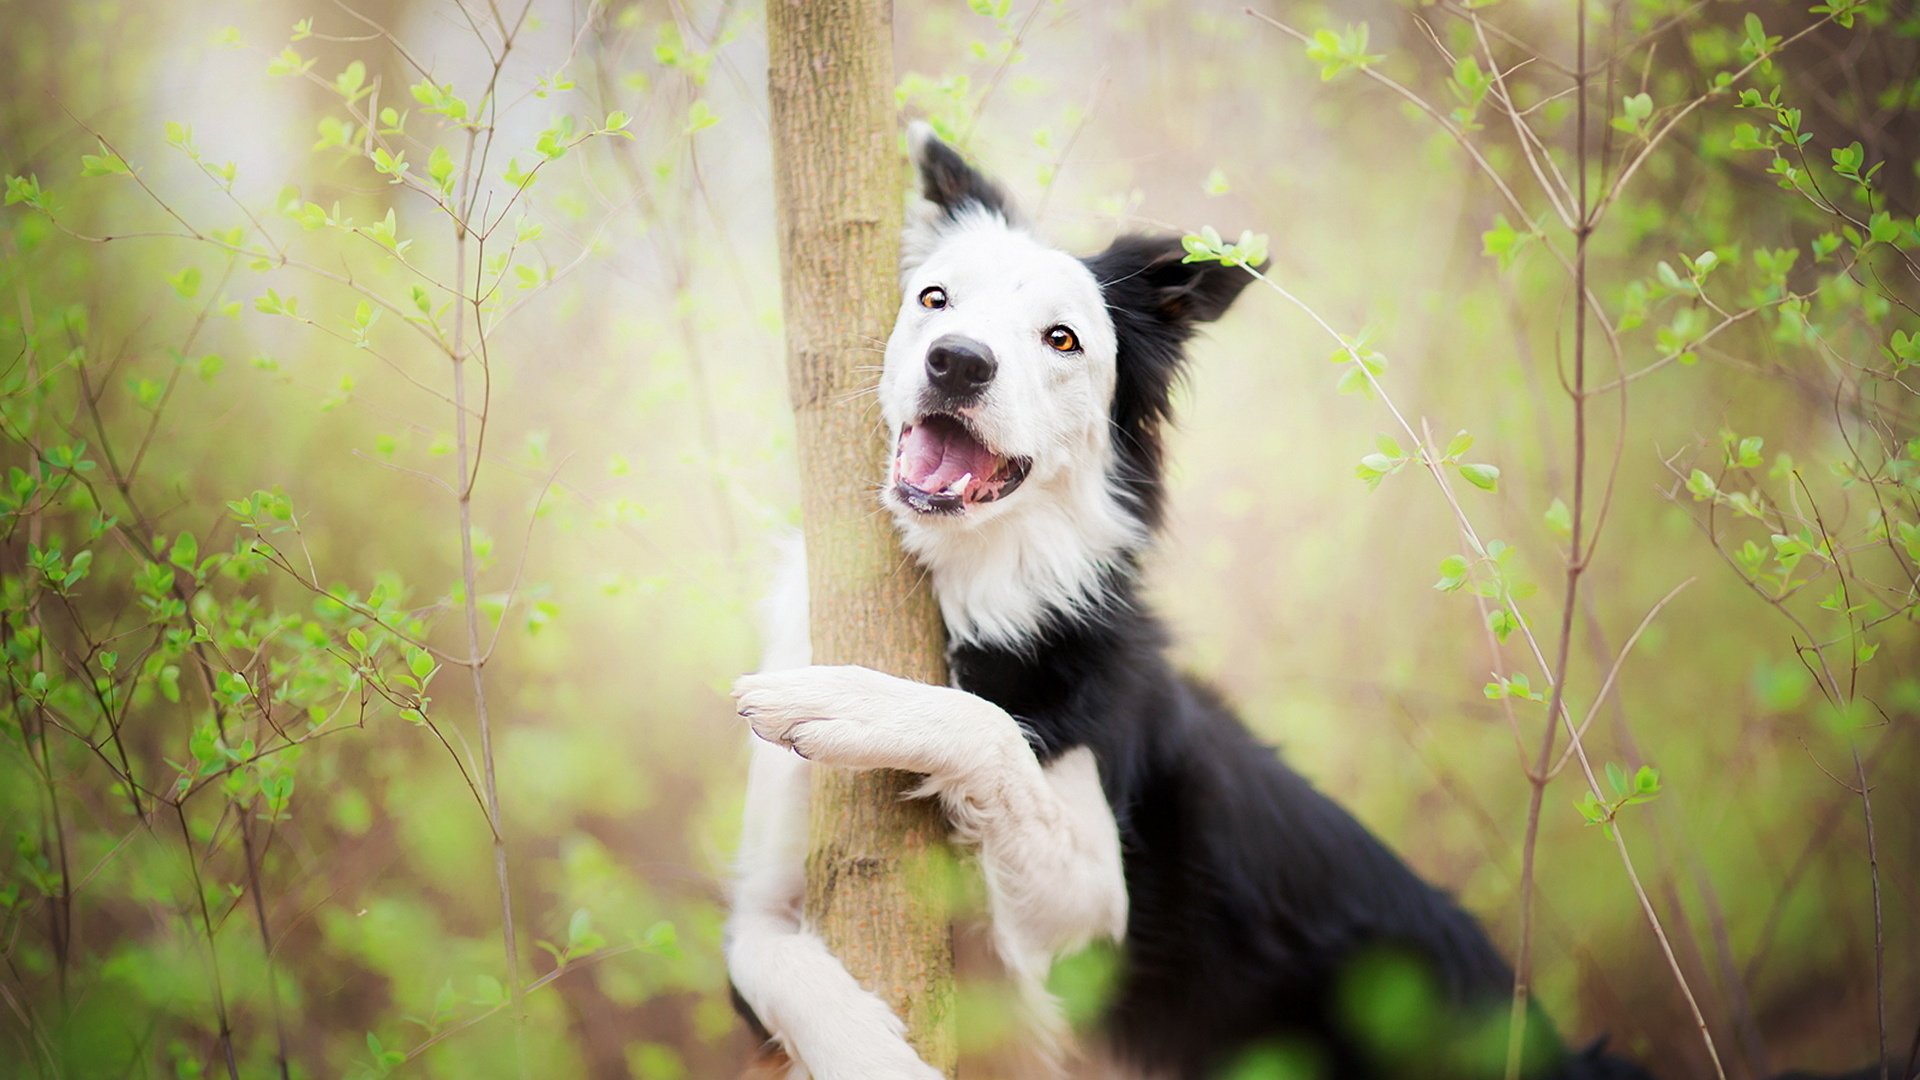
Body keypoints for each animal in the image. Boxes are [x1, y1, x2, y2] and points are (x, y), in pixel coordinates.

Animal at [721, 127, 1873, 1076]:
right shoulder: (767, 906)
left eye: (1061, 340)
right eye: (935, 301)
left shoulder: (1092, 941)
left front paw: (855, 702)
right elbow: (771, 957)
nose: (955, 363)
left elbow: (989, 731)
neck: (975, 593)